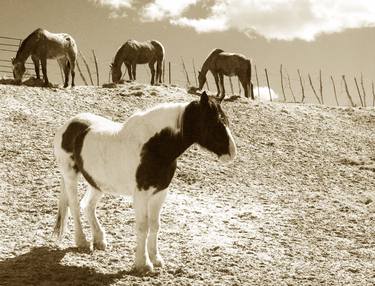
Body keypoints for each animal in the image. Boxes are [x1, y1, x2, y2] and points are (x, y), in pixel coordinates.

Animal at [53, 92, 236, 274]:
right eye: (214, 122)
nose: (232, 153)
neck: (154, 147)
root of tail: (68, 125)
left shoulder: (160, 193)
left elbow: (155, 226)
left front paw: (156, 259)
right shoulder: (141, 194)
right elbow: (143, 227)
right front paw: (143, 263)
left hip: (97, 183)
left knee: (87, 206)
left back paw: (99, 240)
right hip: (70, 177)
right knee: (74, 206)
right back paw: (82, 242)